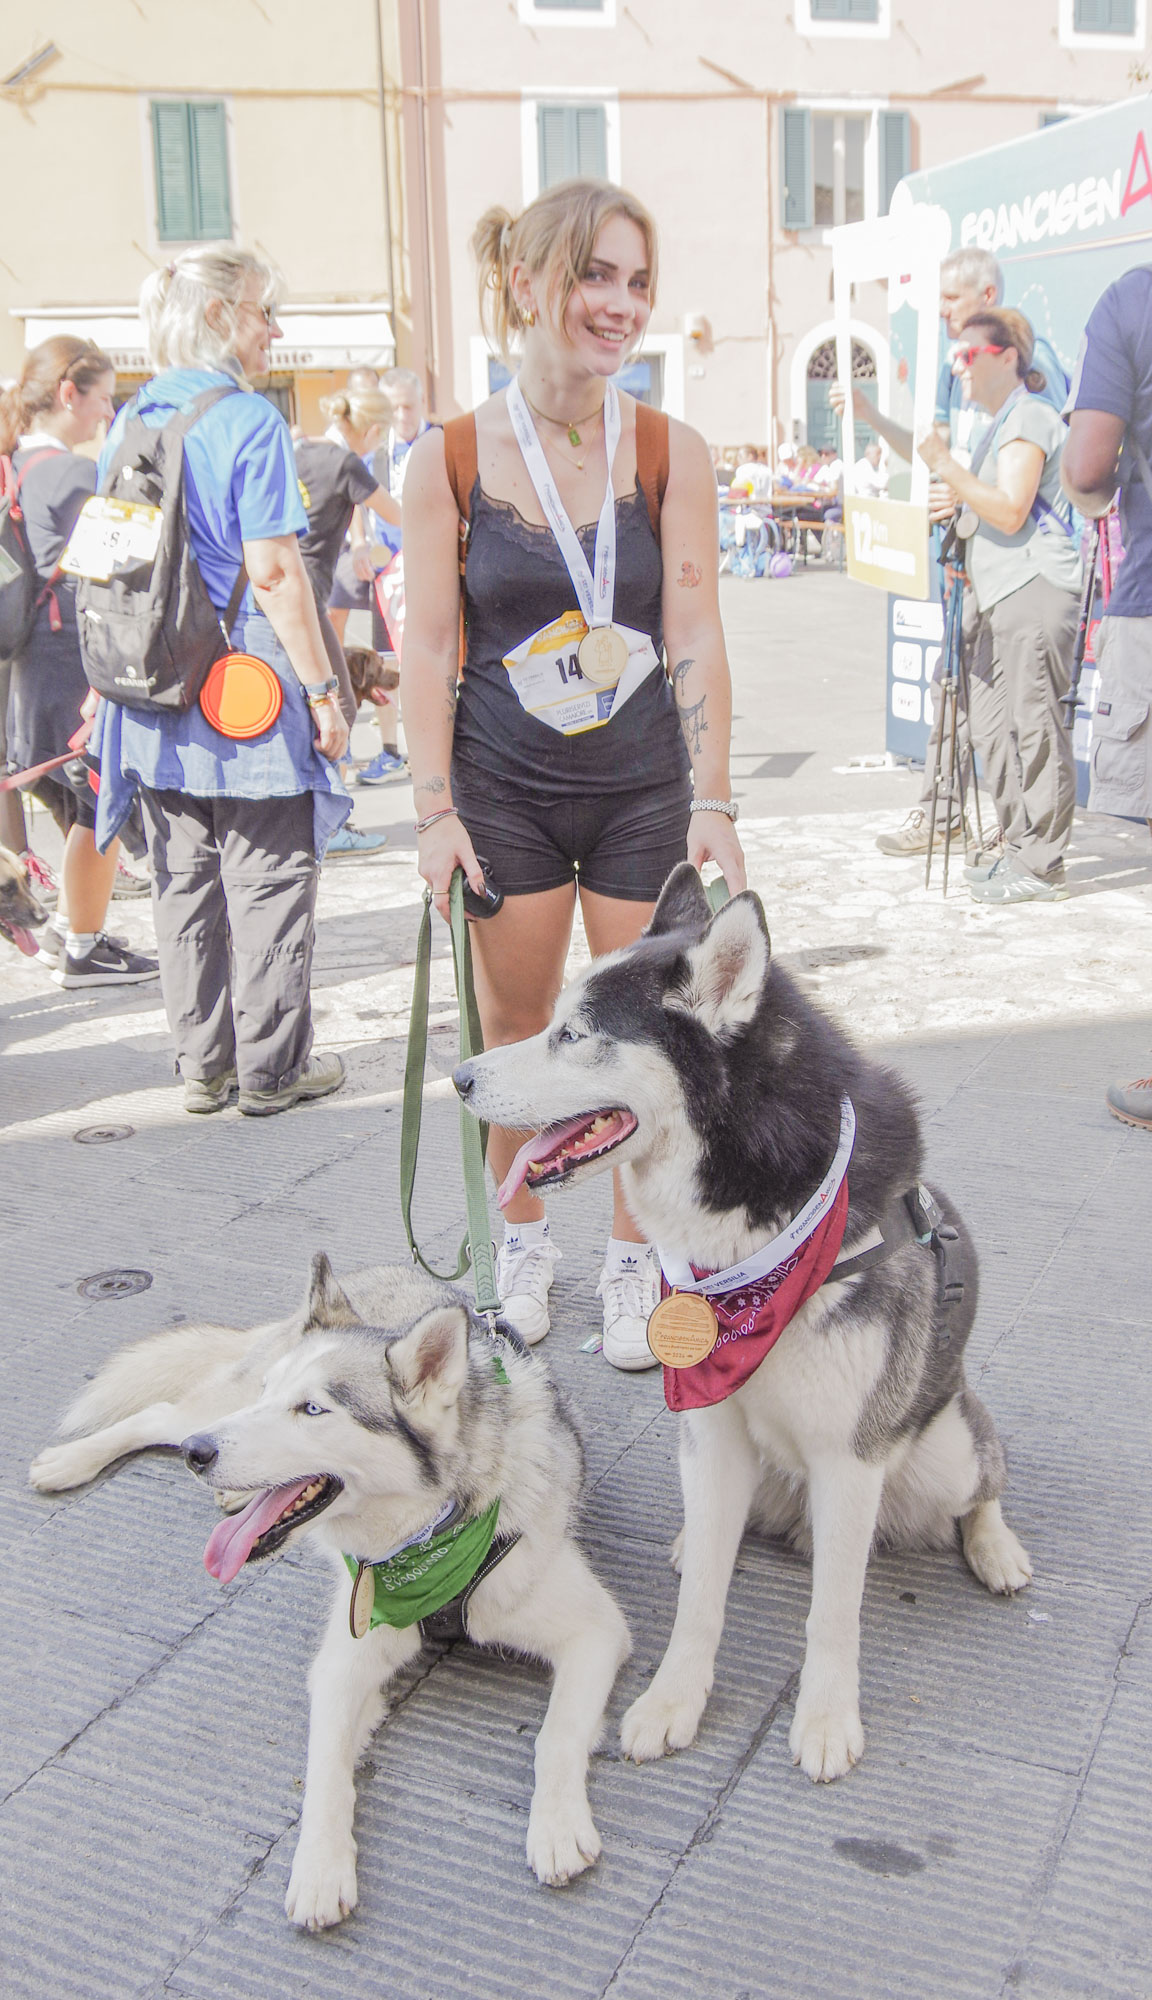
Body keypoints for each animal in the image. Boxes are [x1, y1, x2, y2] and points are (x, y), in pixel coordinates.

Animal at [30, 1255, 631, 1929]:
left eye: (312, 1410)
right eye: (275, 1395)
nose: (197, 1456)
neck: (434, 1528)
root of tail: (373, 1271)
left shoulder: (596, 1629)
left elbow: (556, 1734)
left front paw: (555, 1826)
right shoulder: (345, 1657)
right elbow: (323, 1769)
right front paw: (319, 1867)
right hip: (215, 1408)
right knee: (161, 1413)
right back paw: (69, 1461)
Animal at [454, 863, 1032, 1786]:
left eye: (575, 1034)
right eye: (549, 1021)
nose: (459, 1078)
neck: (757, 1239)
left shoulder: (850, 1459)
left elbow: (834, 1612)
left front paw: (826, 1719)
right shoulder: (713, 1432)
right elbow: (699, 1604)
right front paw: (672, 1702)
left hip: (942, 1448)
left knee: (983, 1480)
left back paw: (996, 1548)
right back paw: (697, 1539)